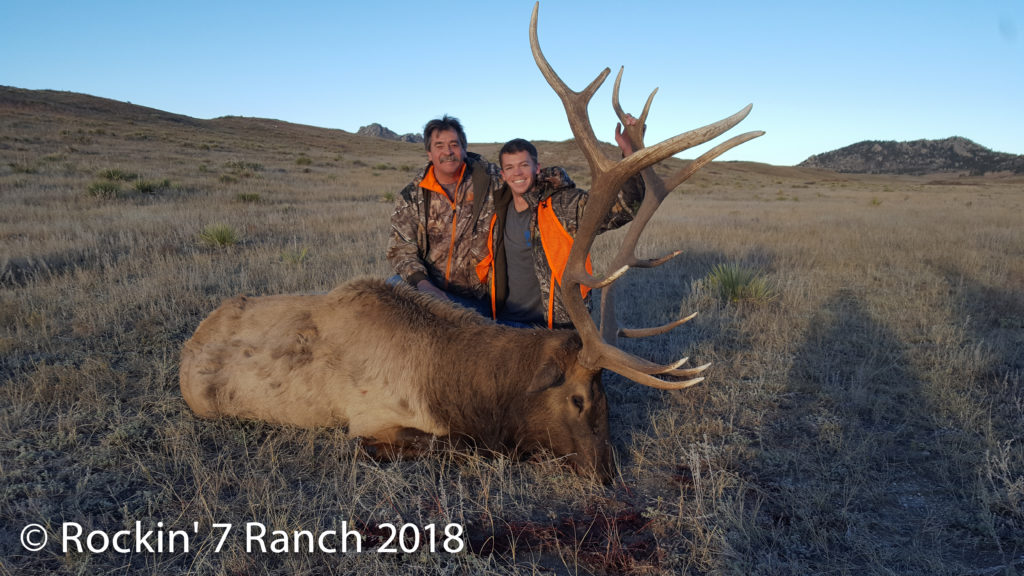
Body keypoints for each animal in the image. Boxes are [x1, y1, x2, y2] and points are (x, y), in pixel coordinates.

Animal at [180, 2, 765, 481]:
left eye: (607, 401)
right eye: (578, 399)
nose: (608, 474)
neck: (455, 384)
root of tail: (189, 343)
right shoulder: (372, 420)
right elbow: (460, 447)